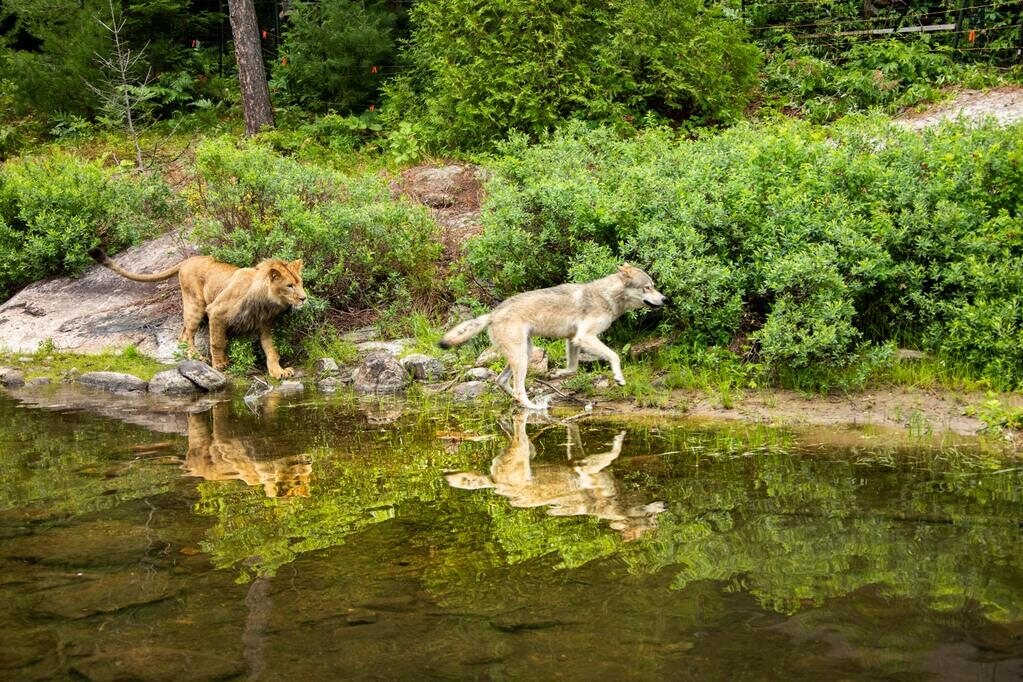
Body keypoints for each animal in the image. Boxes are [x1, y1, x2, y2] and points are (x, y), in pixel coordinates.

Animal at [89, 249, 304, 378]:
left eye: (300, 282)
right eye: (289, 285)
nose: (304, 298)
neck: (266, 301)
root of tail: (187, 260)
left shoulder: (265, 325)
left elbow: (271, 350)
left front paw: (279, 371)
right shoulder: (216, 311)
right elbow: (217, 342)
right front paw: (220, 365)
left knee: (183, 332)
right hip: (196, 305)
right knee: (186, 335)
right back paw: (198, 358)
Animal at [437, 263, 662, 408]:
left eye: (654, 286)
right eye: (648, 287)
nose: (665, 299)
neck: (607, 296)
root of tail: (493, 314)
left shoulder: (573, 339)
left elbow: (572, 368)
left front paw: (556, 374)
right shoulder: (585, 337)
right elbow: (614, 356)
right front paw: (619, 378)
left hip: (525, 353)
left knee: (501, 381)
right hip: (522, 357)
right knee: (518, 389)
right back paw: (532, 407)